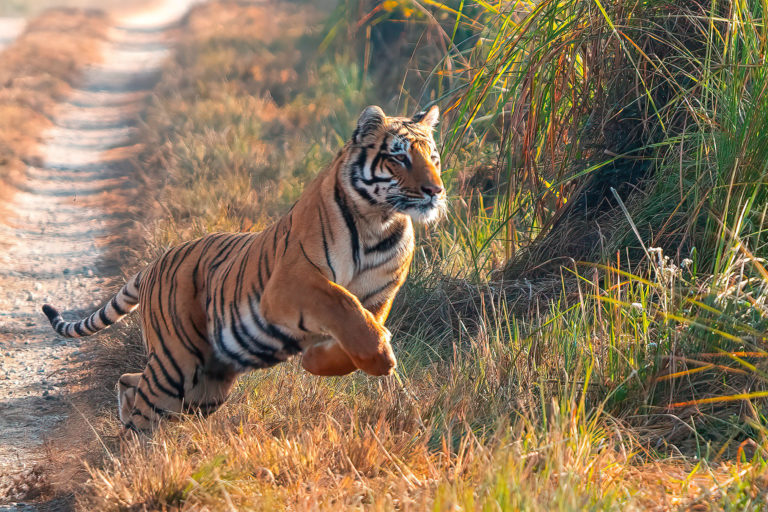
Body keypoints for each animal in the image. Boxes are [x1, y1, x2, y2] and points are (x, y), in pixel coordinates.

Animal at [43, 105, 444, 432]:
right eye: (399, 158)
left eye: (433, 158)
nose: (436, 191)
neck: (379, 222)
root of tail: (155, 263)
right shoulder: (293, 282)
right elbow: (342, 302)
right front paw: (380, 357)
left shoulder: (378, 296)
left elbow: (356, 331)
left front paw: (321, 358)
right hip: (177, 366)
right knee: (144, 408)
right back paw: (137, 457)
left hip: (205, 385)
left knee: (131, 382)